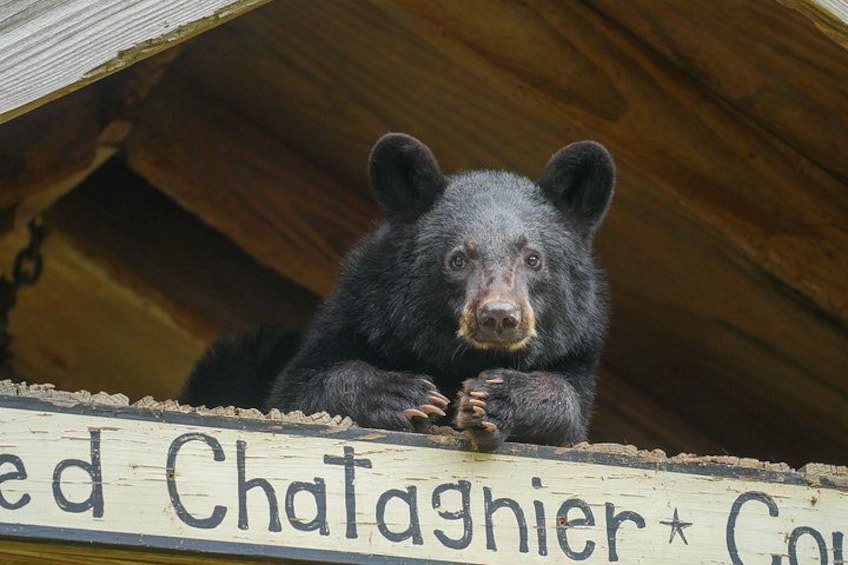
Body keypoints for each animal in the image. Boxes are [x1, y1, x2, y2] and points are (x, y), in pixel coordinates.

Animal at [182, 133, 614, 451]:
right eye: (458, 259)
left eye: (533, 258)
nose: (498, 316)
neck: (459, 356)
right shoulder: (361, 311)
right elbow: (299, 391)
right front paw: (403, 394)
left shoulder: (577, 345)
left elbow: (568, 405)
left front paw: (494, 397)